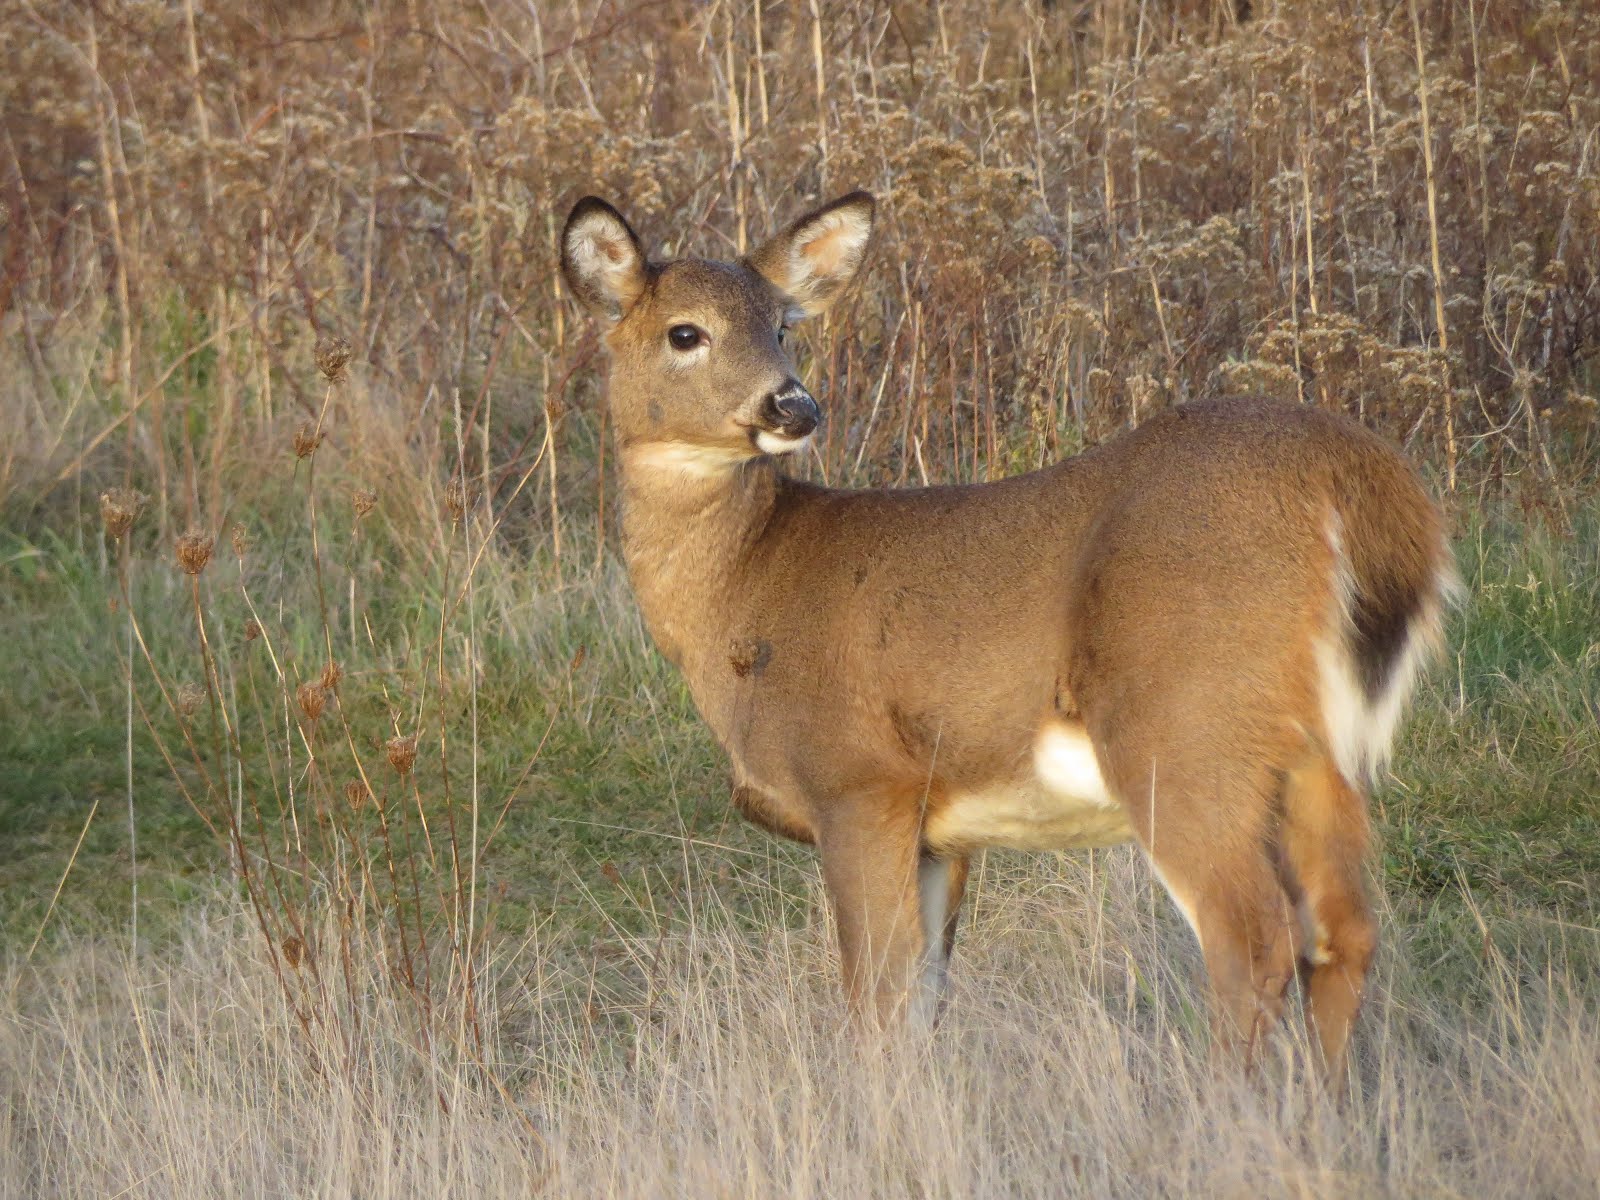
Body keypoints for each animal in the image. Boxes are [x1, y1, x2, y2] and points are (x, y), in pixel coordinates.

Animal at [556, 188, 1459, 1088]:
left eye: (782, 324)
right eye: (686, 332)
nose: (795, 406)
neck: (748, 587)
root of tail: (1360, 485)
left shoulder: (860, 780)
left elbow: (872, 1000)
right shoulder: (940, 833)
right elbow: (919, 1002)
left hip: (1183, 724)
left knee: (1253, 936)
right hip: (1317, 753)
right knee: (1343, 932)